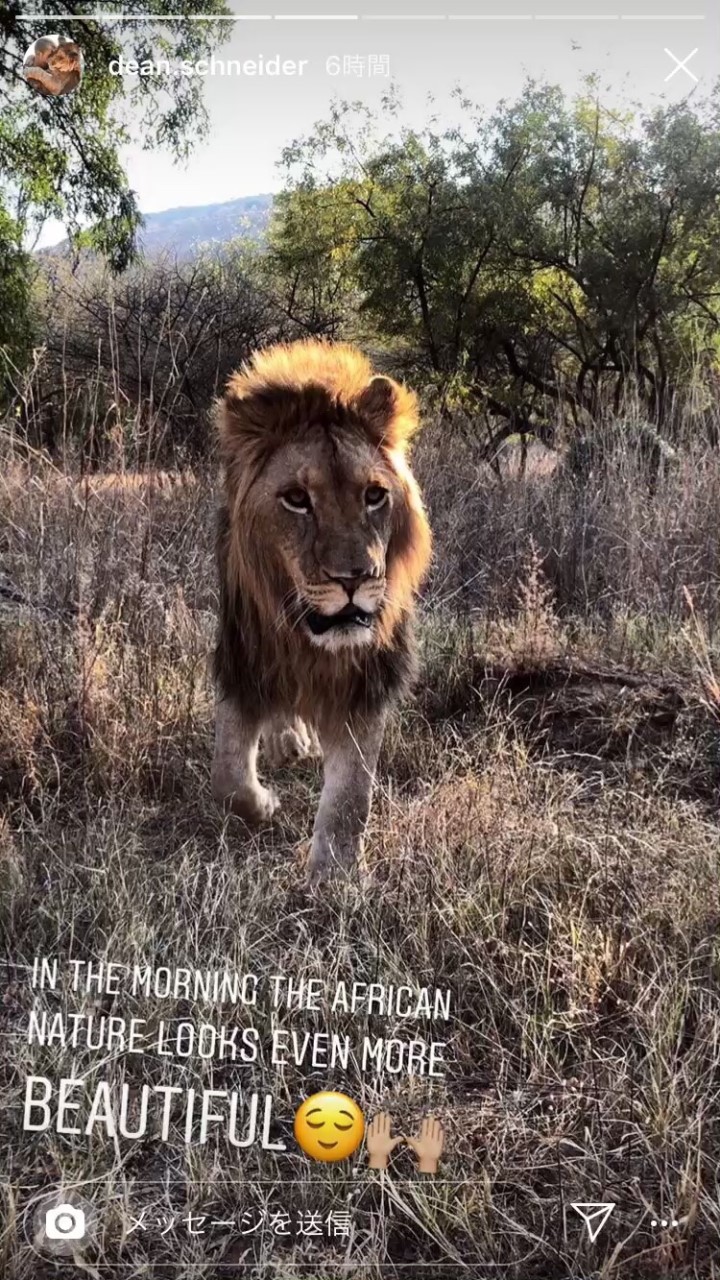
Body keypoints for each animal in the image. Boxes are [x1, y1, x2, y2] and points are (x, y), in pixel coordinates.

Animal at [210, 340, 427, 880]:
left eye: (374, 495)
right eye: (296, 499)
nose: (353, 578)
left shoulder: (366, 684)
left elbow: (351, 796)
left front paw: (334, 874)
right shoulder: (242, 662)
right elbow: (228, 779)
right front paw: (264, 805)